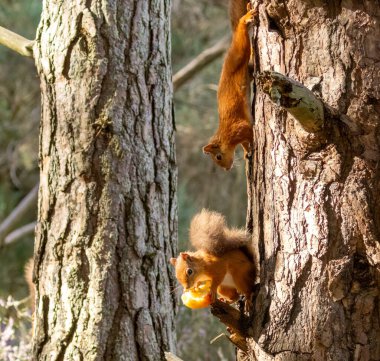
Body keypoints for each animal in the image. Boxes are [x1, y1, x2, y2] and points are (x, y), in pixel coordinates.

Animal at [202, 1, 258, 170]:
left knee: (242, 37)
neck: (225, 136)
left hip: (238, 53)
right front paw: (247, 152)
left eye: (218, 156)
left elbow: (249, 133)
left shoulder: (238, 128)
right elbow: (245, 144)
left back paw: (245, 19)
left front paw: (252, 146)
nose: (227, 169)